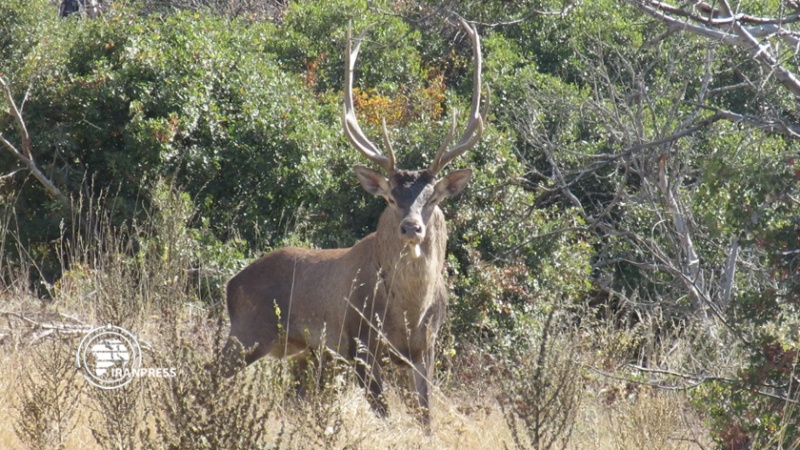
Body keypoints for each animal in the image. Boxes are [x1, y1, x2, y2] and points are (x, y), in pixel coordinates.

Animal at [222, 17, 488, 428]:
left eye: (433, 199)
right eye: (391, 198)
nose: (411, 227)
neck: (409, 313)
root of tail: (231, 284)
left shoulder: (425, 348)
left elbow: (426, 420)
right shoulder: (358, 341)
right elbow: (385, 416)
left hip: (304, 352)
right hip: (248, 331)